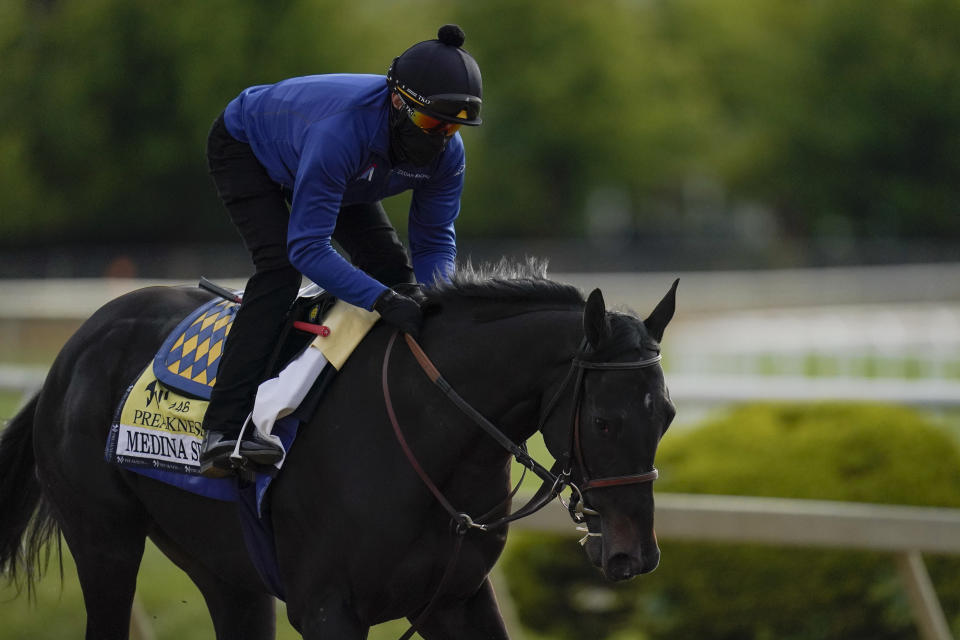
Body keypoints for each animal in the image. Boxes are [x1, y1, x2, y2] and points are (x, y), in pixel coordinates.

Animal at [0, 262, 676, 640]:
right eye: (605, 421)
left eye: (666, 415)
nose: (634, 555)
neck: (428, 446)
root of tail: (72, 350)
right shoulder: (328, 609)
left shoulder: (455, 599)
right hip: (104, 541)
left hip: (226, 573)